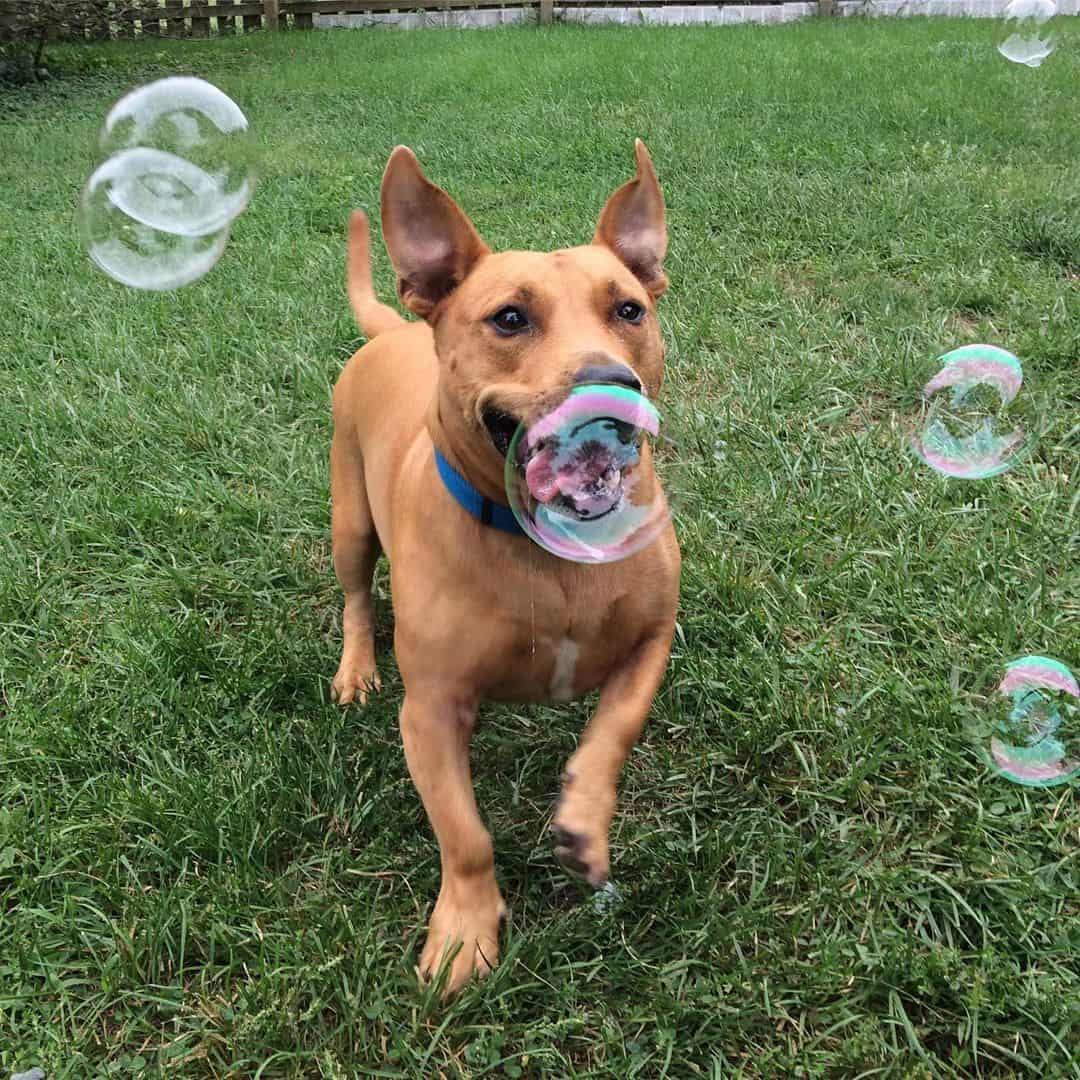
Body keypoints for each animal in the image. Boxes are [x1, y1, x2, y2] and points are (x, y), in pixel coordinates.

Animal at [332, 143, 678, 993]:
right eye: (510, 318)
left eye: (629, 310)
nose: (609, 385)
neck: (548, 549)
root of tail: (395, 329)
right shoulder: (429, 711)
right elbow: (464, 834)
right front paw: (465, 927)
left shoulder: (652, 639)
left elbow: (612, 733)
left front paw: (583, 824)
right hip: (347, 521)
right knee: (354, 595)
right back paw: (355, 666)